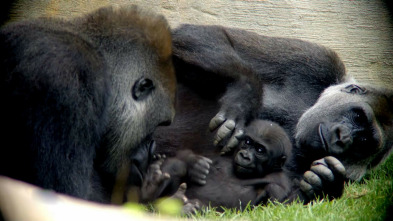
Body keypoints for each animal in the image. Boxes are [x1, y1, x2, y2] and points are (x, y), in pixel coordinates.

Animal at [140, 119, 290, 211]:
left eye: (260, 150)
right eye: (247, 142)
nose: (244, 155)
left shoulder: (281, 183)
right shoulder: (225, 148)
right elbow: (184, 153)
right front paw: (195, 165)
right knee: (177, 165)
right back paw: (150, 189)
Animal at [153, 23, 392, 204]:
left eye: (363, 142)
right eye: (358, 116)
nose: (343, 138)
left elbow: (273, 200)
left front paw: (326, 184)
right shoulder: (318, 62)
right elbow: (201, 34)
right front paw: (244, 95)